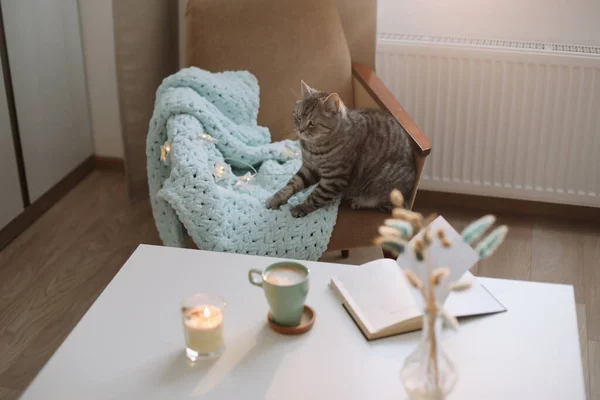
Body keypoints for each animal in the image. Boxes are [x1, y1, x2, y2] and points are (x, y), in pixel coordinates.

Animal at [264, 81, 414, 217]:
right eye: (298, 117)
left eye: (312, 123)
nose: (300, 130)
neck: (312, 147)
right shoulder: (308, 168)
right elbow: (291, 184)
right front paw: (276, 198)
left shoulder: (334, 178)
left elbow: (316, 195)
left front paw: (301, 207)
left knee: (383, 203)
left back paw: (360, 202)